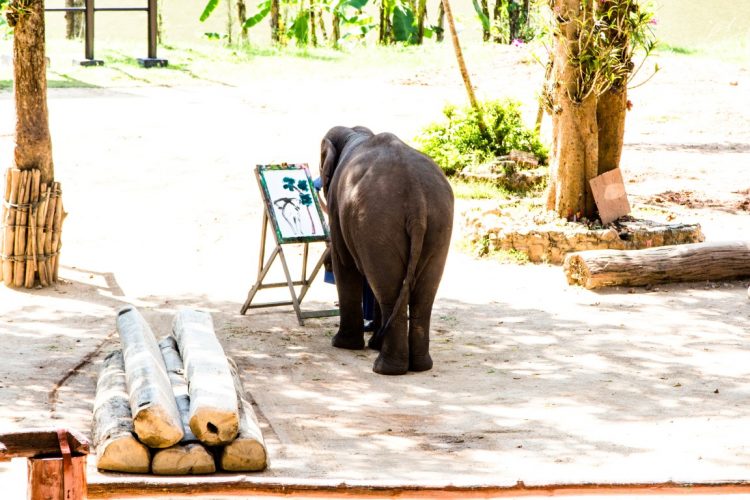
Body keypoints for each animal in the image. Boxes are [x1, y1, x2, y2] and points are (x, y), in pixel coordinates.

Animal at [319, 125, 454, 375]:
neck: (356, 132)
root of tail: (416, 196)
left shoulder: (335, 206)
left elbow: (345, 262)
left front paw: (341, 345)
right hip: (438, 220)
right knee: (421, 295)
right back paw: (419, 366)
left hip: (378, 218)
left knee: (387, 291)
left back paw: (385, 368)